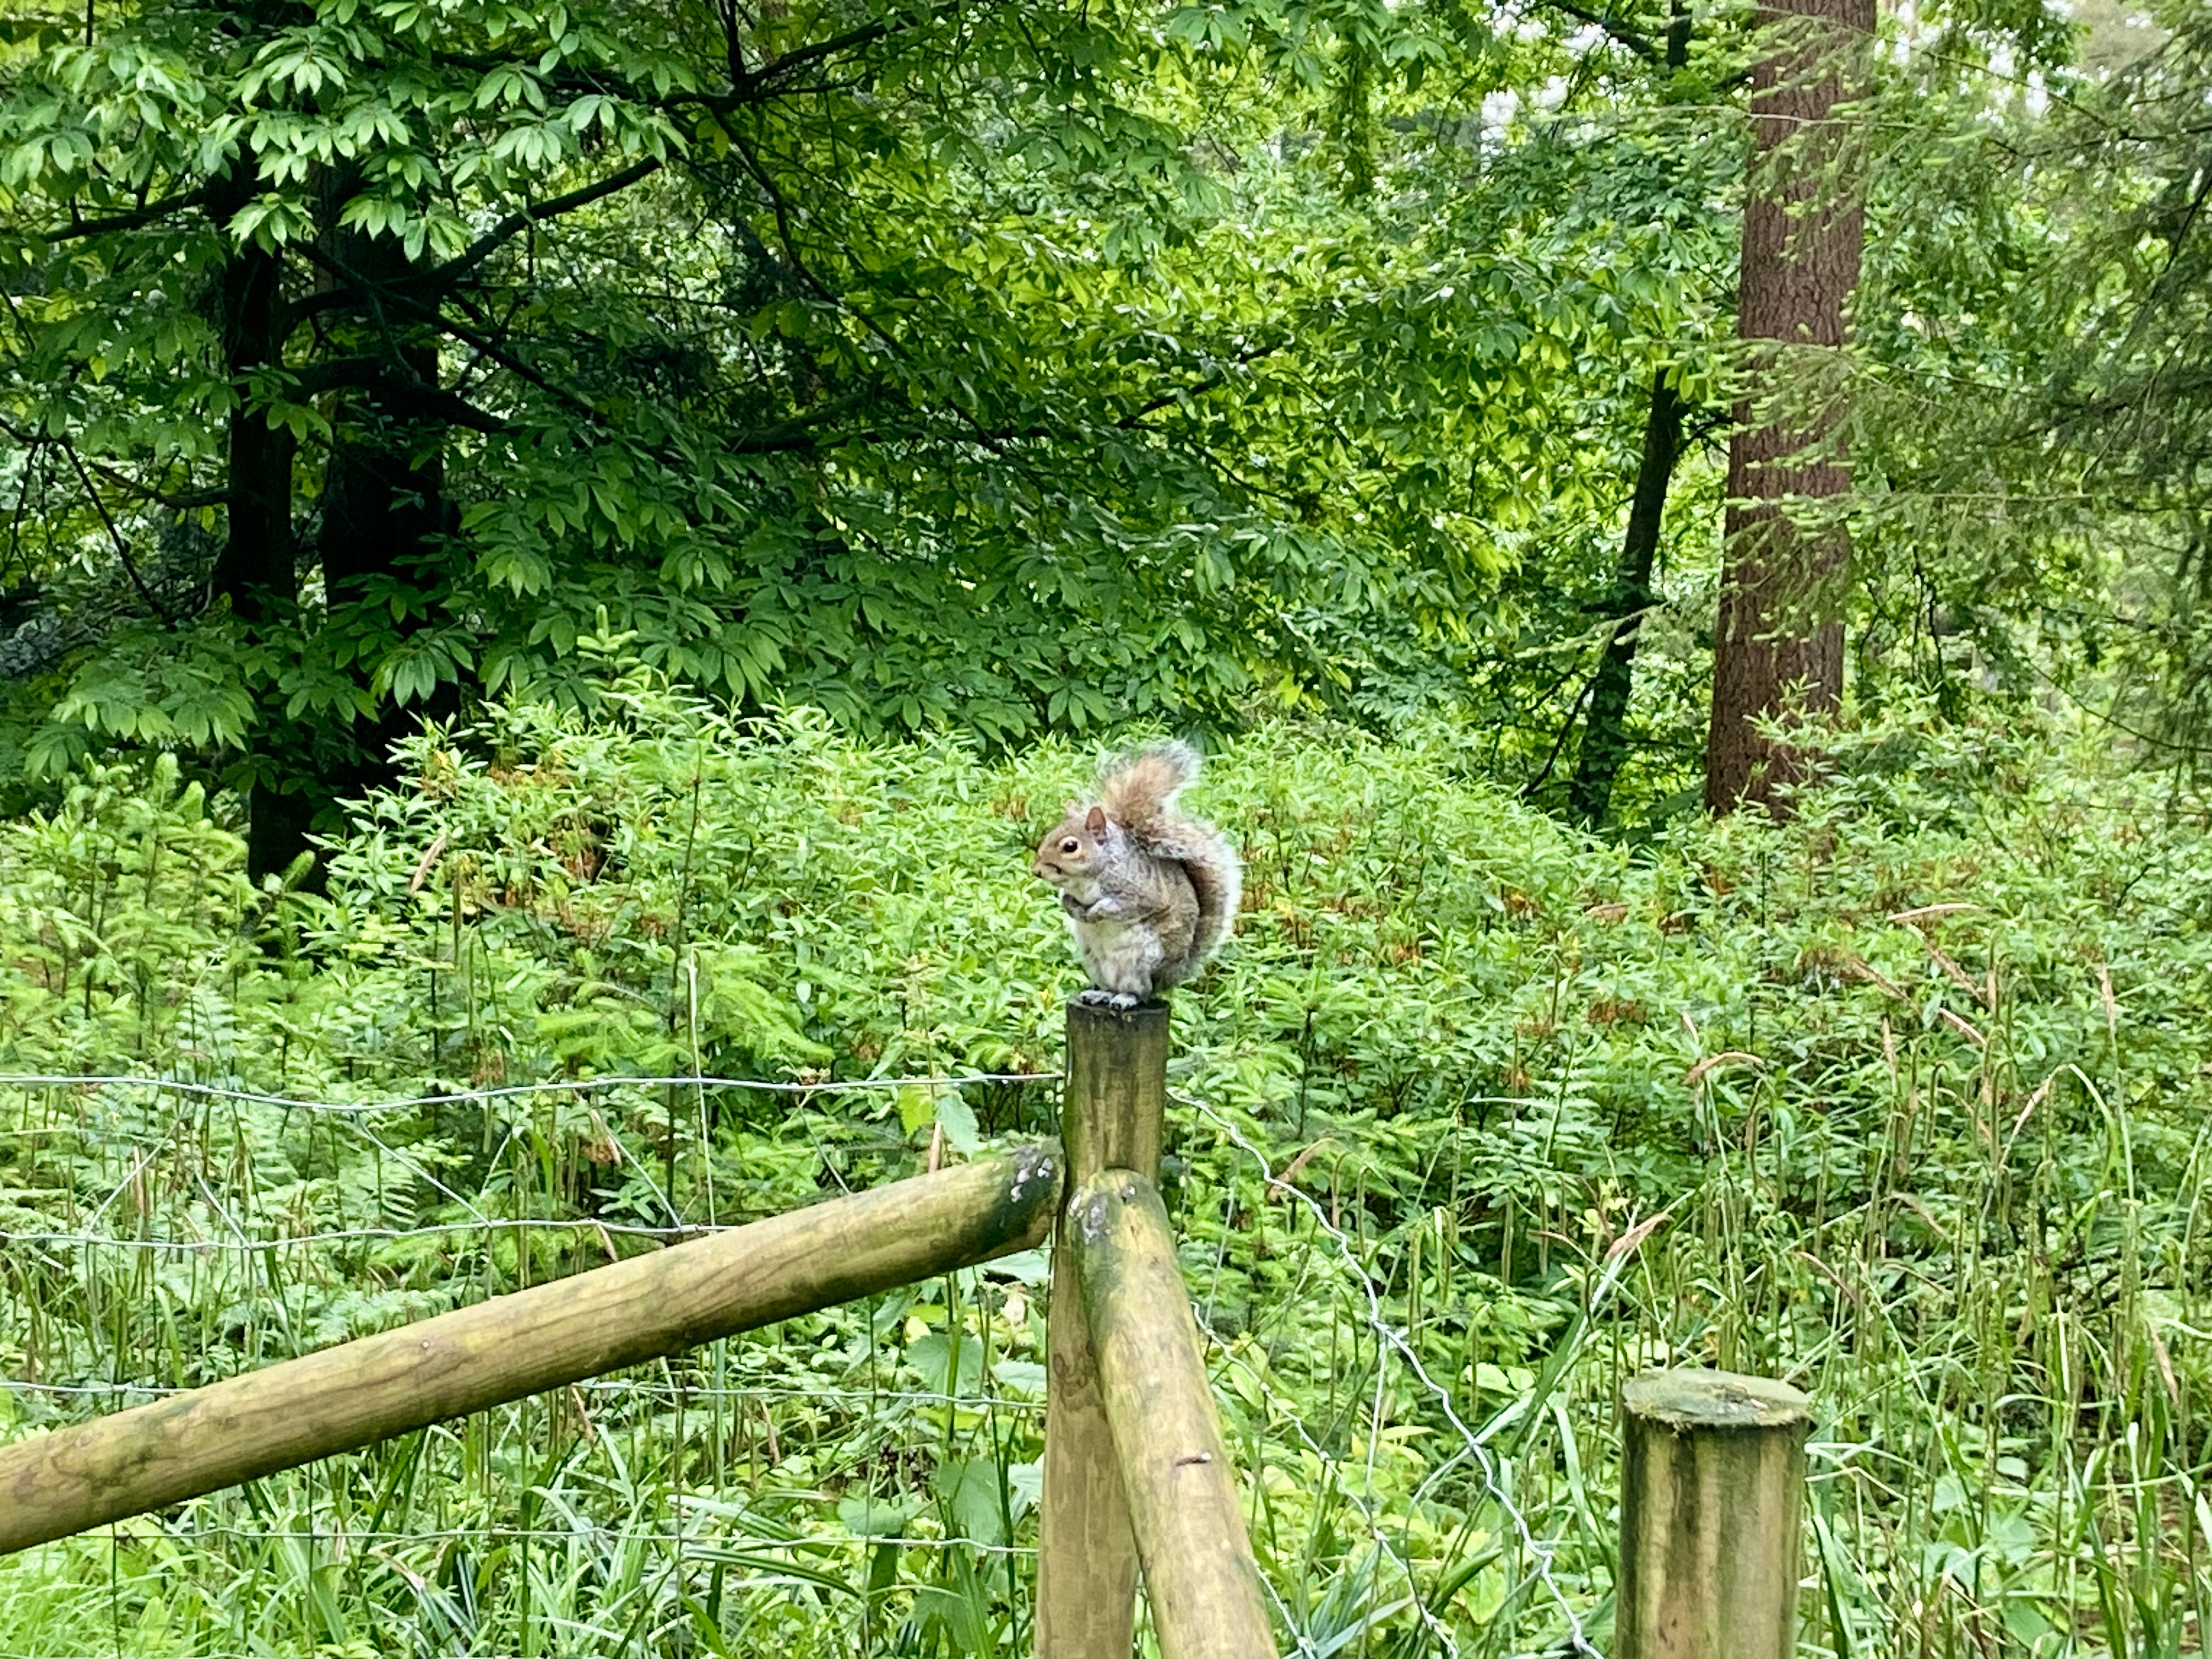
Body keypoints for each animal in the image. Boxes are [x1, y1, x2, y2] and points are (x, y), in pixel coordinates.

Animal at [1031, 741, 1241, 1009]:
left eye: (1070, 847)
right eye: (1049, 835)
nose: (1036, 871)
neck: (1084, 881)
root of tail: (1169, 977)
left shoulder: (1141, 891)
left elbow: (1128, 906)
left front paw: (1096, 912)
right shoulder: (1070, 892)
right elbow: (1066, 901)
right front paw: (1076, 910)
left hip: (1142, 961)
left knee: (1141, 991)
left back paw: (1125, 998)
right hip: (1095, 962)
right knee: (1110, 986)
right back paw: (1100, 994)